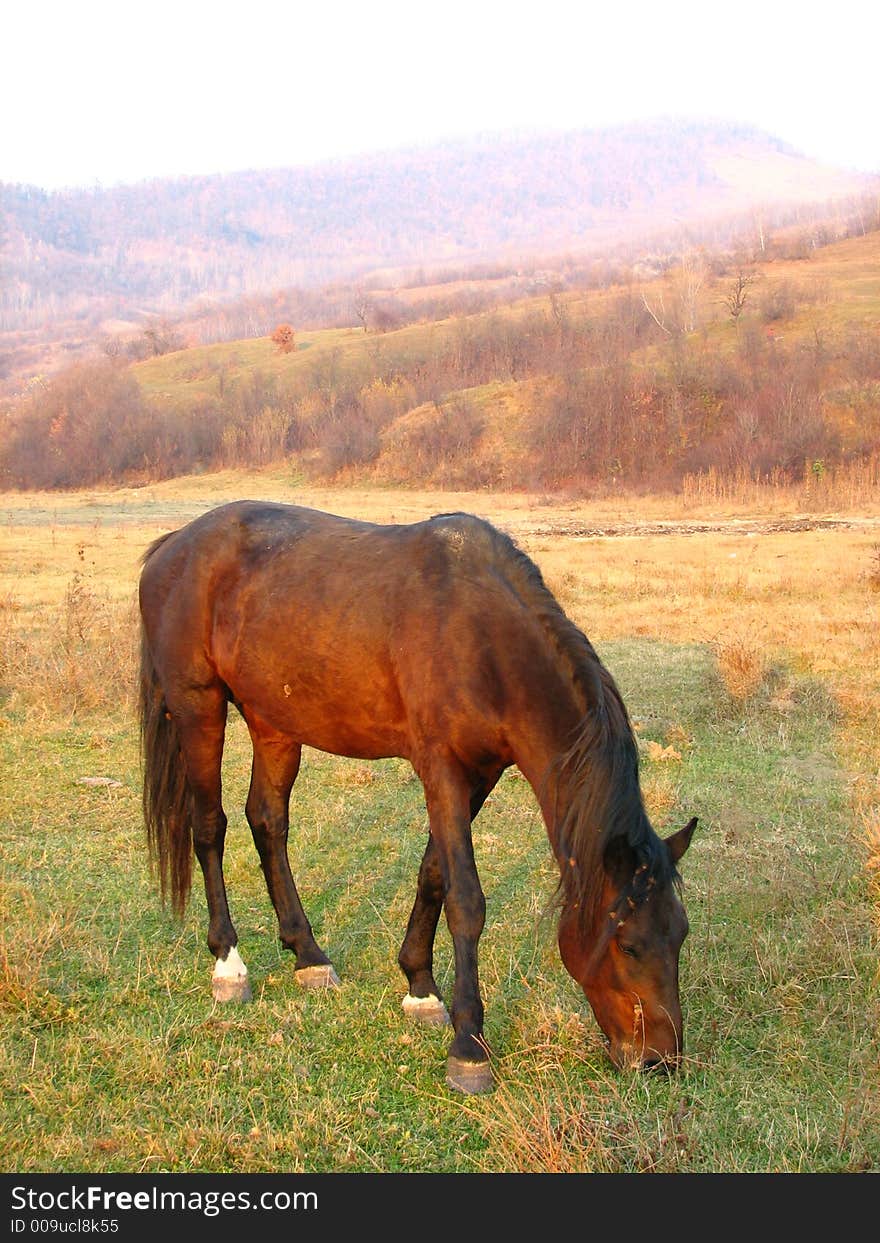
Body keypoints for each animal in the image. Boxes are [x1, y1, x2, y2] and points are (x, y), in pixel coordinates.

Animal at [137, 499, 696, 1093]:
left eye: (681, 935)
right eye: (628, 944)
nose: (660, 1060)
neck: (485, 640)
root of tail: (175, 544)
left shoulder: (479, 774)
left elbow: (433, 874)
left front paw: (421, 988)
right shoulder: (442, 770)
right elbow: (466, 900)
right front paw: (469, 1046)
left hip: (274, 723)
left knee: (267, 822)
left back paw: (308, 955)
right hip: (199, 707)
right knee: (209, 827)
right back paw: (229, 963)